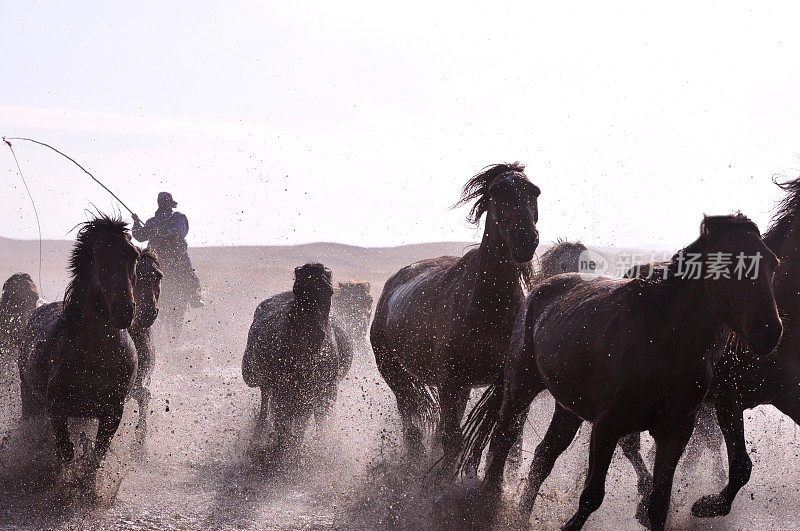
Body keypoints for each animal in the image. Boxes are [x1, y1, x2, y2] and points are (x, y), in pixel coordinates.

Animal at [17, 214, 139, 472]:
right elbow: (65, 452)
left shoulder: (113, 412)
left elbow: (96, 456)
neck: (97, 357)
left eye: (133, 254)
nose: (124, 310)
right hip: (31, 400)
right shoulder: (57, 409)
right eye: (98, 253)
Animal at [241, 262, 354, 458]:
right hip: (266, 384)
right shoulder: (283, 389)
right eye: (298, 289)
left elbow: (302, 423)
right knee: (266, 404)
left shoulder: (314, 392)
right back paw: (260, 436)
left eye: (329, 291)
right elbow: (283, 421)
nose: (314, 334)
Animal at [372, 162, 540, 470]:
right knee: (411, 425)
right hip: (395, 373)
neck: (488, 308)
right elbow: (452, 440)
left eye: (534, 191)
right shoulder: (450, 382)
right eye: (498, 191)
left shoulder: (509, 387)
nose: (525, 240)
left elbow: (505, 443)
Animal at [460, 215, 780, 531]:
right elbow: (591, 495)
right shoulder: (607, 425)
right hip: (521, 387)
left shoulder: (675, 432)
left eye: (773, 263)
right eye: (730, 266)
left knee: (543, 457)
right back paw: (491, 501)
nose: (769, 331)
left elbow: (658, 505)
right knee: (502, 440)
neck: (663, 341)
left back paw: (522, 517)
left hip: (568, 409)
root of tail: (540, 290)